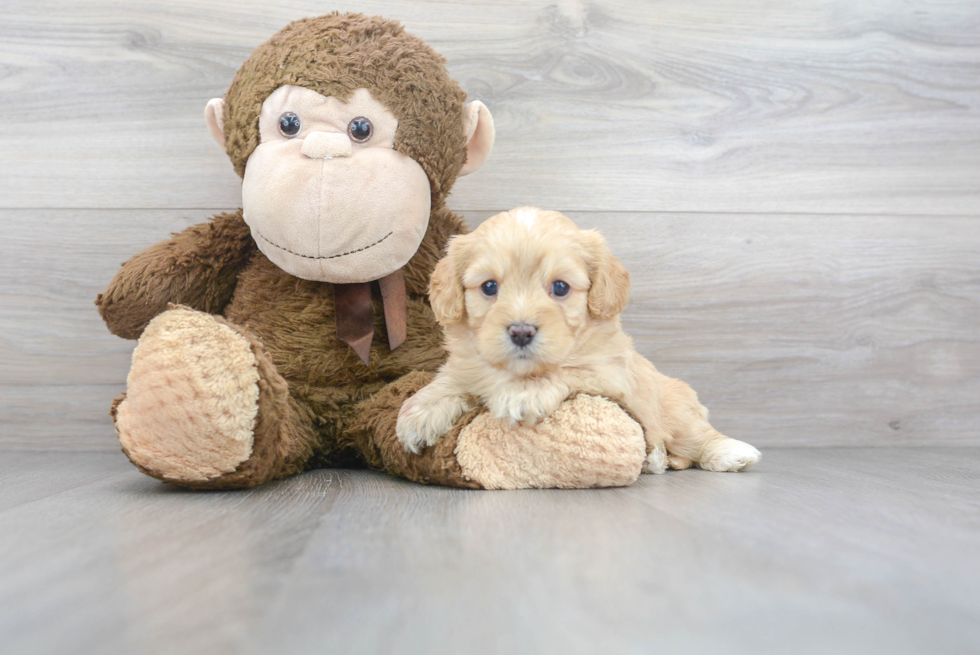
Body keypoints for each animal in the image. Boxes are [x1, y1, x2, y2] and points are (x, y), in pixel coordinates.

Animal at [394, 208, 760, 474]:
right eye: (488, 287)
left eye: (560, 287)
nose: (521, 331)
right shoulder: (468, 365)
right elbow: (454, 380)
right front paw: (420, 411)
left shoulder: (609, 374)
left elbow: (565, 370)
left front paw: (525, 392)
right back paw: (656, 458)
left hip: (679, 412)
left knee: (696, 438)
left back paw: (729, 452)